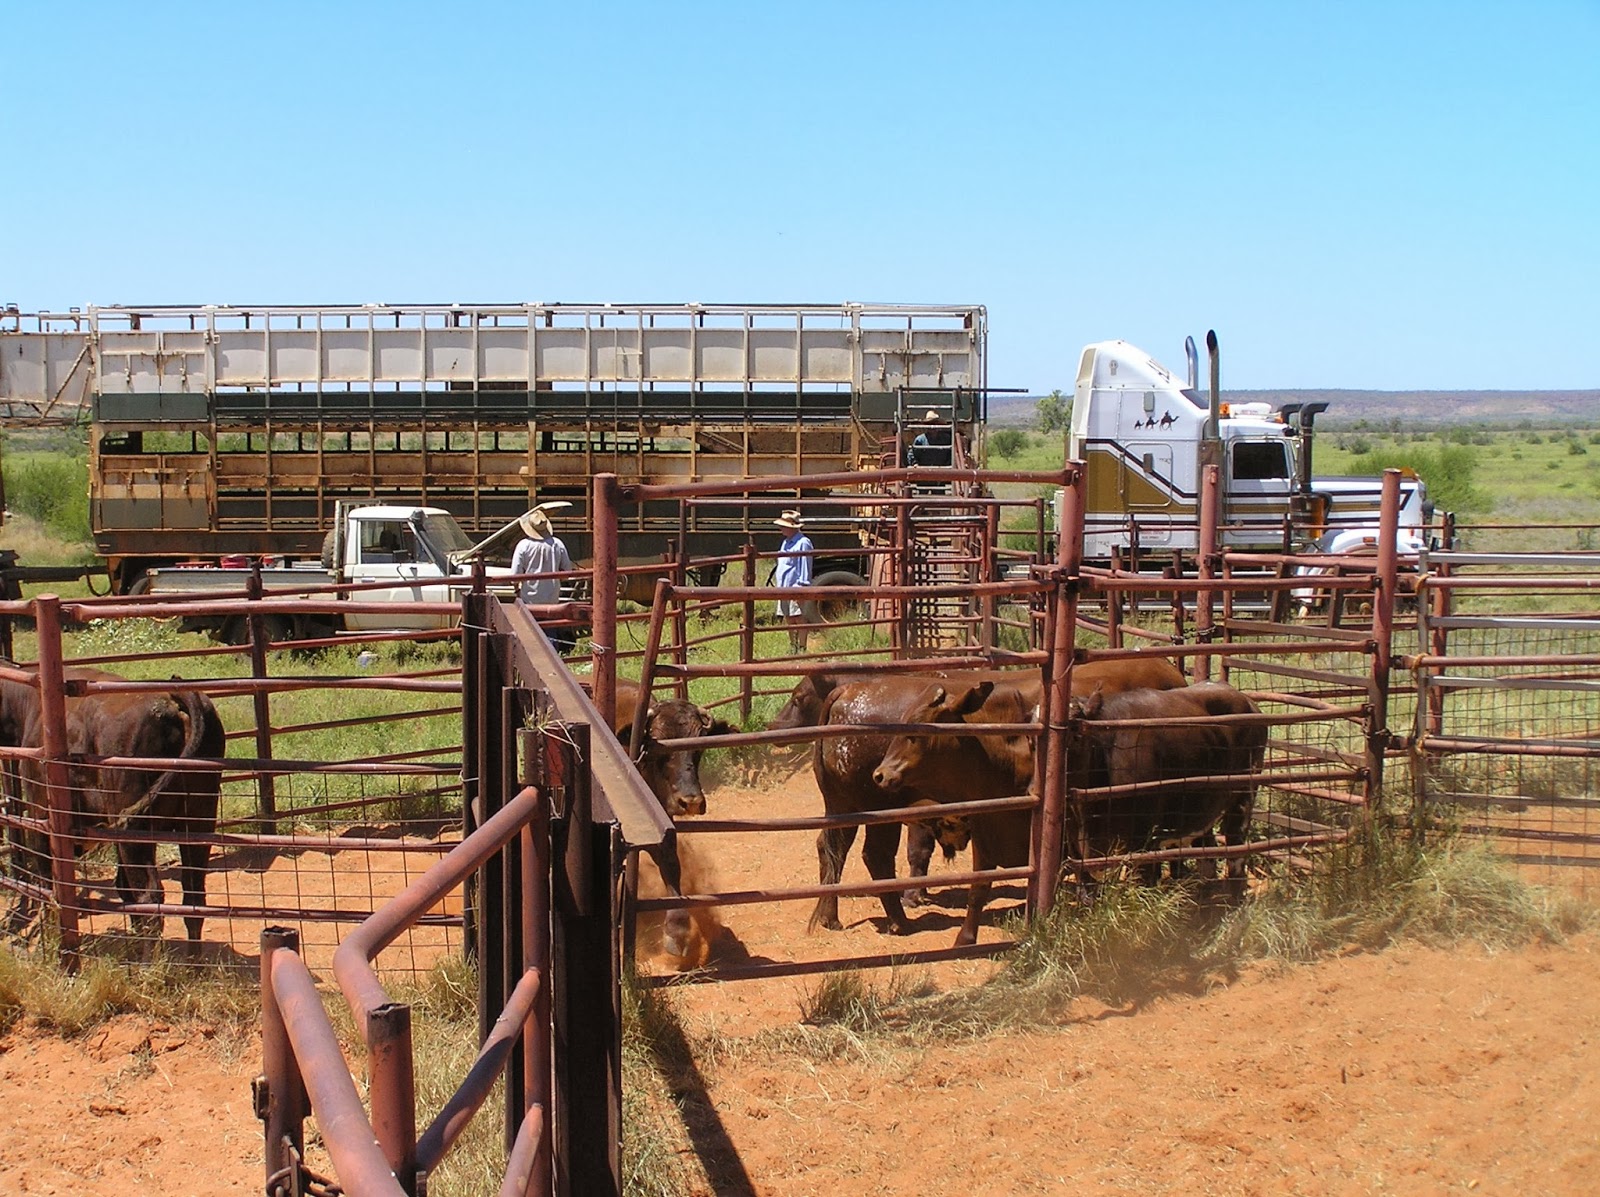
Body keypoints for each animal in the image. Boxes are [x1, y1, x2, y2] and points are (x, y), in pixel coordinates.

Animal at [1, 662, 224, 942]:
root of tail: (173, 699)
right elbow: (123, 886)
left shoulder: (41, 813)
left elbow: (47, 881)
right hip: (198, 821)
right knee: (193, 898)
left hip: (137, 830)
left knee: (150, 897)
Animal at [872, 679, 1266, 946]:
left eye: (916, 733)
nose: (880, 775)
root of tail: (1245, 699)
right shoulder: (992, 839)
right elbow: (978, 891)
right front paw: (965, 939)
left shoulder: (1092, 843)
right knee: (1205, 846)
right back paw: (1204, 901)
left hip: (1241, 799)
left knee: (1235, 849)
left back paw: (1230, 902)